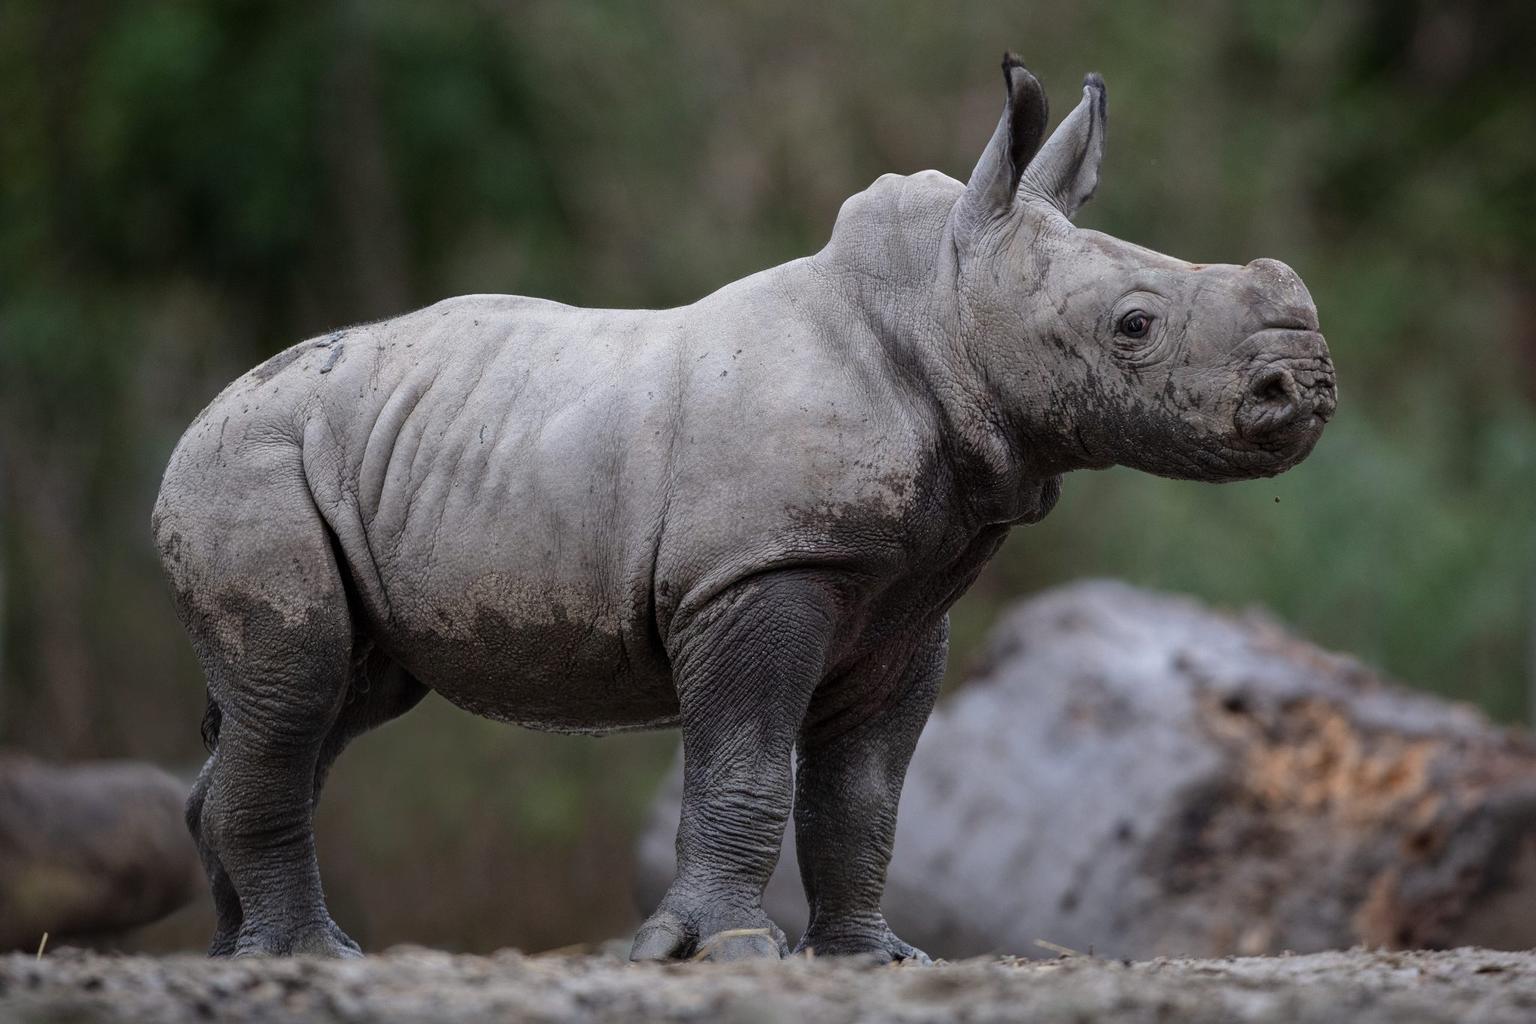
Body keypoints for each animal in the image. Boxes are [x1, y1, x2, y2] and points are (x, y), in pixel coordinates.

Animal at [153, 55, 1336, 962]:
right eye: (1135, 326)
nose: (1307, 388)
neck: (939, 312)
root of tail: (198, 417)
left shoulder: (904, 605)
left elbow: (863, 796)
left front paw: (872, 957)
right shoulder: (761, 569)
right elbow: (749, 766)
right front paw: (723, 949)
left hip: (328, 463)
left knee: (338, 698)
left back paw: (239, 954)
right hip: (249, 466)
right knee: (299, 681)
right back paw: (309, 955)